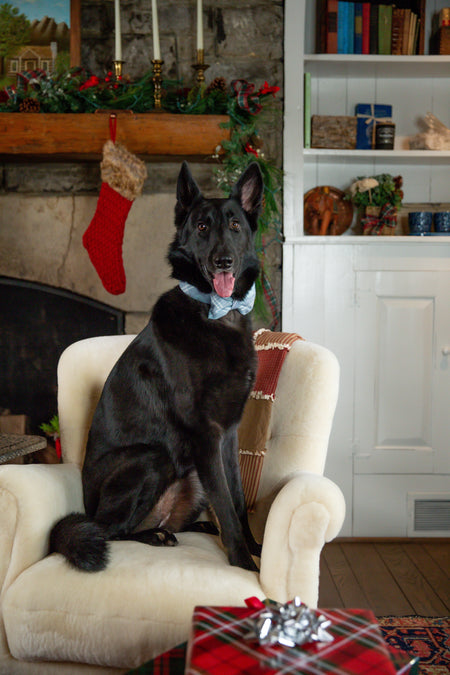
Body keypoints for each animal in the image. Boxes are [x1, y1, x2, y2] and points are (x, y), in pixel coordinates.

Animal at [50, 161, 264, 572]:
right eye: (202, 226)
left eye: (235, 225)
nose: (223, 261)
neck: (217, 315)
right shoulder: (205, 435)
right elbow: (226, 506)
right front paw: (244, 564)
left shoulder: (228, 436)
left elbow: (237, 499)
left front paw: (254, 546)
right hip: (152, 458)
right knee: (109, 530)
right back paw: (154, 535)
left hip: (190, 475)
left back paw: (191, 527)